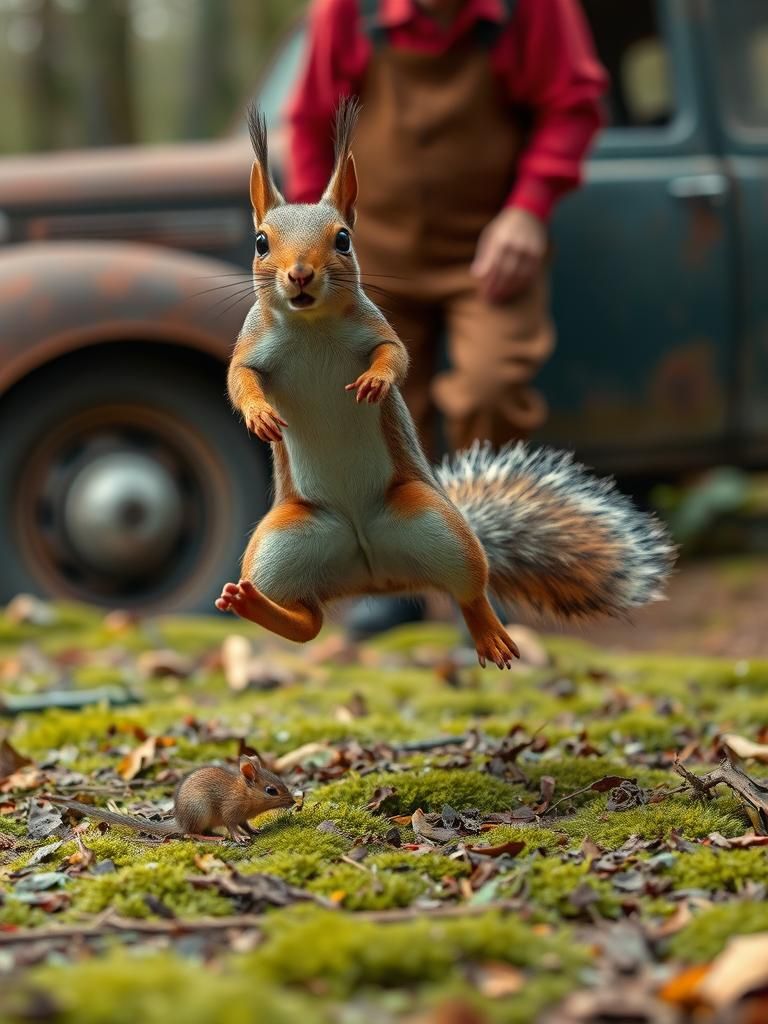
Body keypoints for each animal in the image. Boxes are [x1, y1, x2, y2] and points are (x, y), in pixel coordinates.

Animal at [48, 755, 295, 843]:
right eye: (271, 790)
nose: (293, 802)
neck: (244, 793)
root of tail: (179, 821)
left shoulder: (243, 817)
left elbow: (247, 825)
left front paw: (255, 831)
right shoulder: (231, 814)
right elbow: (234, 827)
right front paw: (240, 838)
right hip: (200, 812)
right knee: (190, 834)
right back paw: (212, 838)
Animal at [215, 100, 675, 668]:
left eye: (343, 239)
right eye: (261, 243)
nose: (300, 275)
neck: (311, 326)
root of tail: (375, 576)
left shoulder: (376, 330)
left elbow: (396, 356)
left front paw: (374, 383)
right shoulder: (252, 347)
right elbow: (239, 381)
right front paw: (259, 415)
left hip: (439, 527)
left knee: (469, 592)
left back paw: (492, 636)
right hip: (282, 545)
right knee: (307, 622)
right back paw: (251, 603)